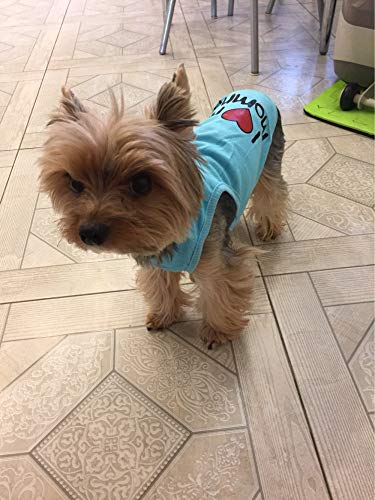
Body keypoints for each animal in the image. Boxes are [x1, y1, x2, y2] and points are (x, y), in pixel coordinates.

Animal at [39, 63, 288, 348]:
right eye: (75, 184)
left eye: (141, 184)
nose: (89, 233)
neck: (174, 234)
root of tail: (254, 92)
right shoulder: (157, 259)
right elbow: (161, 285)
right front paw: (164, 315)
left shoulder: (216, 263)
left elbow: (219, 290)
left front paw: (217, 331)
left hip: (269, 161)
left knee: (272, 192)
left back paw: (269, 227)